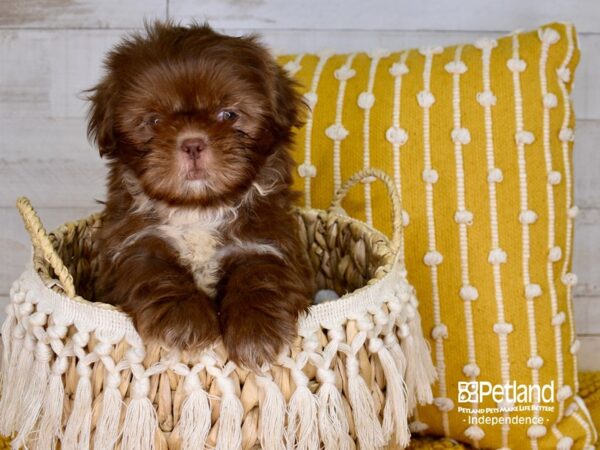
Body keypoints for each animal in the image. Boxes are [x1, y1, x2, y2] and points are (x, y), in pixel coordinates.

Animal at [89, 22, 316, 370]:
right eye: (154, 121)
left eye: (228, 115)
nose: (192, 143)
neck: (198, 209)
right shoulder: (134, 242)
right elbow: (155, 270)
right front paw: (184, 320)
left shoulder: (266, 241)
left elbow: (261, 274)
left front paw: (257, 332)